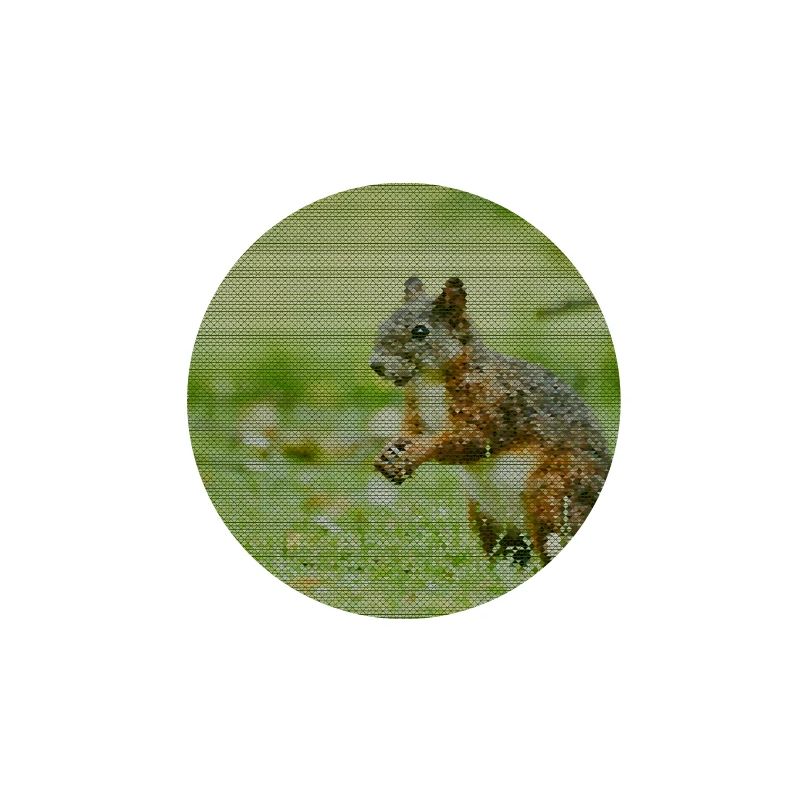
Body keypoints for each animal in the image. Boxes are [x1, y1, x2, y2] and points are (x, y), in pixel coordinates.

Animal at [370, 277, 611, 568]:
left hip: (552, 491)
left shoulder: (495, 404)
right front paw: (389, 453)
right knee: (509, 552)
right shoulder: (416, 411)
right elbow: (410, 430)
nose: (376, 365)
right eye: (384, 322)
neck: (430, 382)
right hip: (485, 516)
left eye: (420, 331)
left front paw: (416, 452)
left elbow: (470, 439)